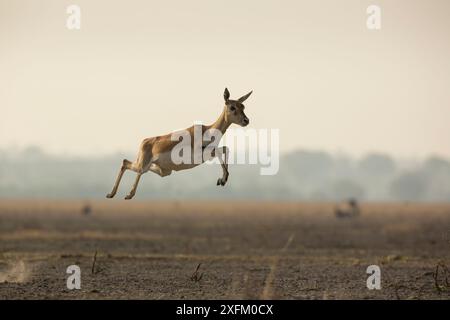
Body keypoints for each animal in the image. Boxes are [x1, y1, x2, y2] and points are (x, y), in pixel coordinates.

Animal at [106, 87, 253, 200]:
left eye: (243, 106)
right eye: (232, 107)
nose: (246, 120)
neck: (207, 130)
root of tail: (145, 141)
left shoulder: (207, 154)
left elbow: (225, 149)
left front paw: (222, 180)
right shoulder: (200, 154)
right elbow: (220, 150)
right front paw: (223, 179)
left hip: (163, 171)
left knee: (128, 164)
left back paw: (115, 194)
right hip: (143, 165)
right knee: (128, 164)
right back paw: (123, 195)